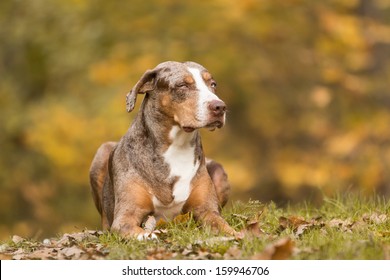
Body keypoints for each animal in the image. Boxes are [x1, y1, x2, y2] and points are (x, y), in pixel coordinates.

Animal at [89, 60, 238, 238]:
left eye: (213, 84)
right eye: (182, 85)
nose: (220, 107)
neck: (177, 148)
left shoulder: (207, 210)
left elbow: (224, 225)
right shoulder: (125, 218)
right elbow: (143, 233)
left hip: (218, 169)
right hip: (102, 152)